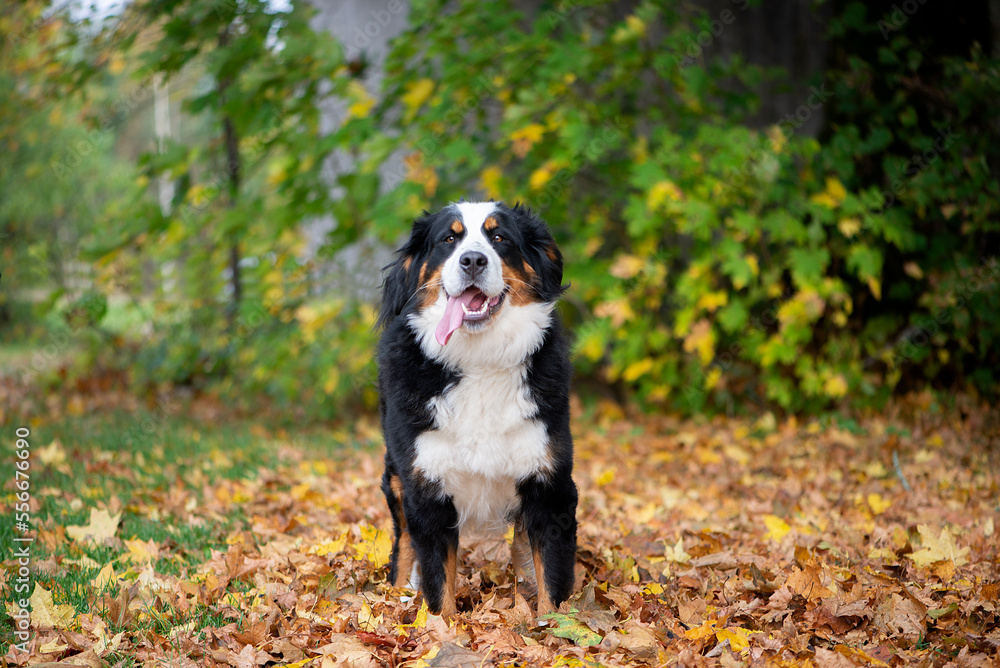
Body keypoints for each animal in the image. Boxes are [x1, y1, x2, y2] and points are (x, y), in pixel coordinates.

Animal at [376, 201, 580, 620]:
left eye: (499, 236)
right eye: (448, 239)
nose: (472, 260)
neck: (479, 360)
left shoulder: (549, 485)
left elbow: (551, 580)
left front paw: (554, 628)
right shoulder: (426, 488)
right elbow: (439, 585)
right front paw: (441, 629)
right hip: (398, 478)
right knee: (403, 545)